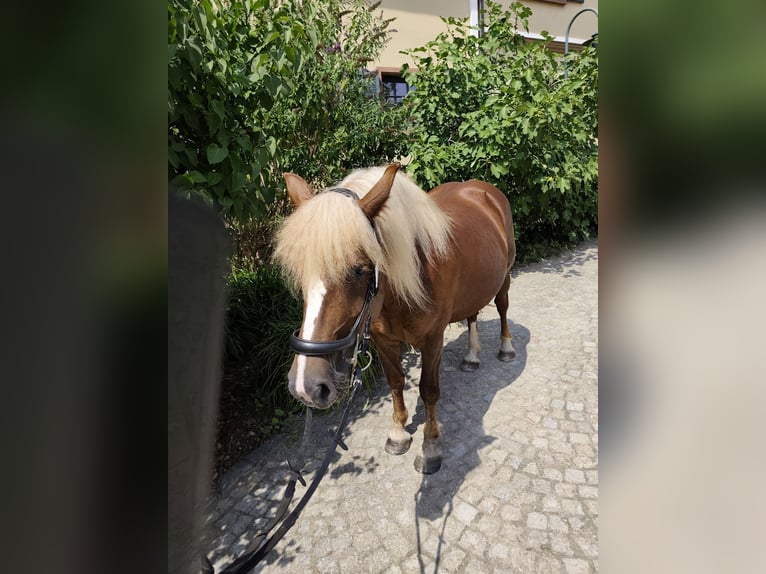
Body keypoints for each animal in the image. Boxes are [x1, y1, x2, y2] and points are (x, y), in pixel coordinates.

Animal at [273, 163, 516, 474]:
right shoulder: (383, 341)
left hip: (505, 276)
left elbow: (428, 390)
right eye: (300, 271)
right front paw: (399, 434)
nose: (306, 386)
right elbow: (396, 382)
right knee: (472, 313)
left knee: (502, 307)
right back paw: (472, 356)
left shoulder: (432, 340)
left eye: (359, 269)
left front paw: (430, 447)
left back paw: (506, 348)